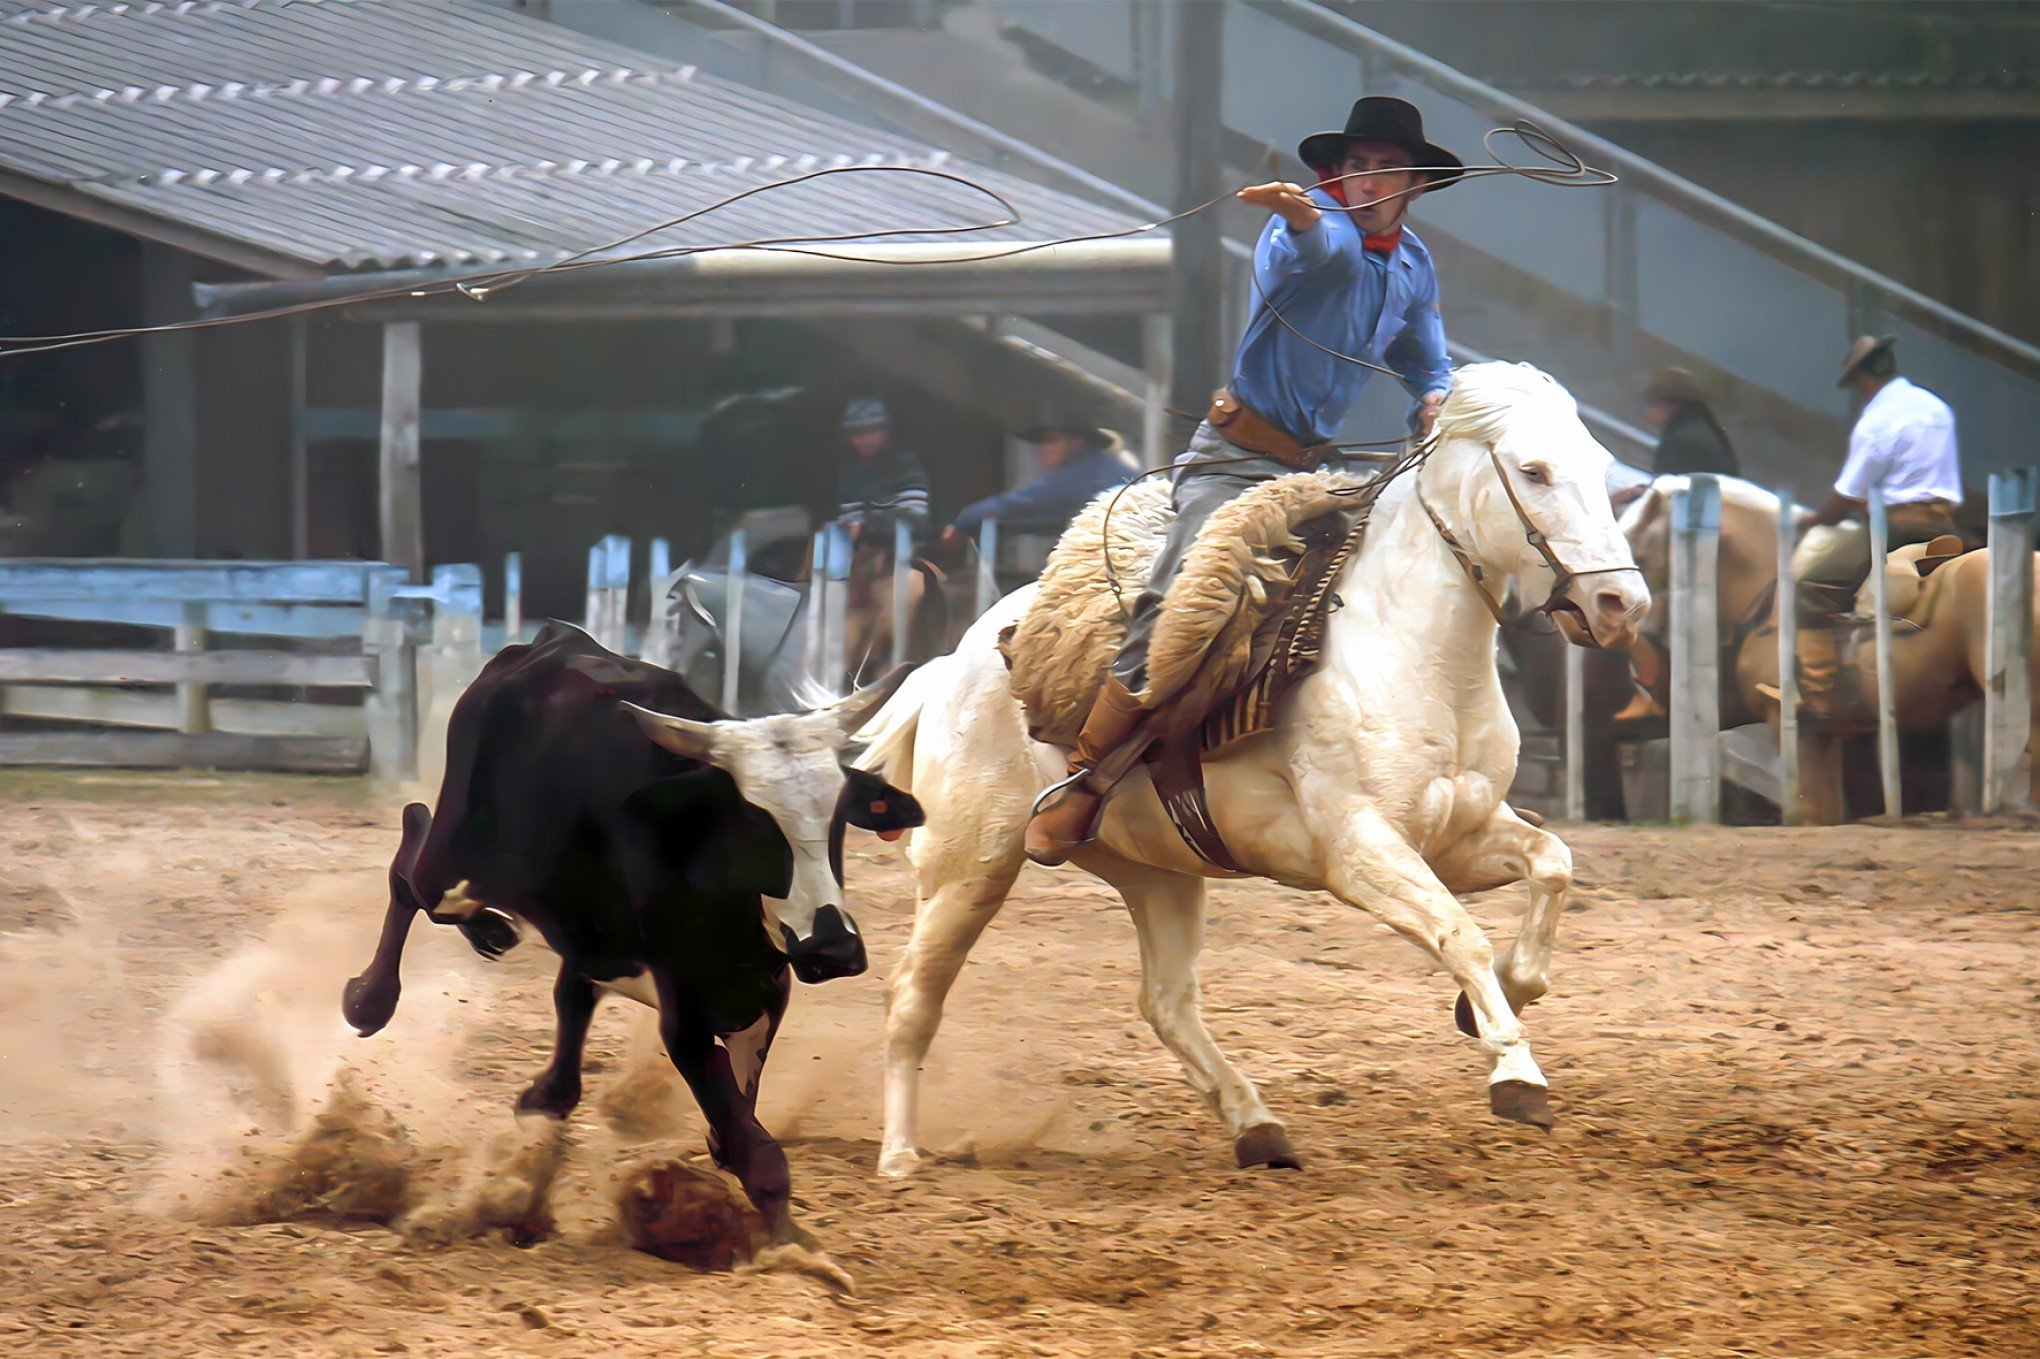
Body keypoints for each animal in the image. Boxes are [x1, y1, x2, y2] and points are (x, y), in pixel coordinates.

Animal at [344, 620, 926, 1240]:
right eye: (755, 822)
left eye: (838, 818)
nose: (834, 949)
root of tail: (547, 642)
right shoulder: (684, 1019)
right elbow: (758, 1154)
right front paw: (792, 1248)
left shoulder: (764, 998)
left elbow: (740, 1130)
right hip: (457, 856)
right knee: (413, 856)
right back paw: (371, 998)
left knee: (563, 1022)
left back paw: (492, 946)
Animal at [852, 363, 1648, 1175]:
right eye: (1533, 470)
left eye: (1601, 469)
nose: (1620, 602)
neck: (1417, 650)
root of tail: (953, 662)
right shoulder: (1360, 852)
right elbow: (1462, 935)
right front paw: (1517, 1073)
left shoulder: (1459, 834)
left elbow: (1552, 865)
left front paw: (1507, 995)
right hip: (970, 865)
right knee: (910, 995)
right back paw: (899, 1157)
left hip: (1156, 871)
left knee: (1167, 1003)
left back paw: (1257, 1125)